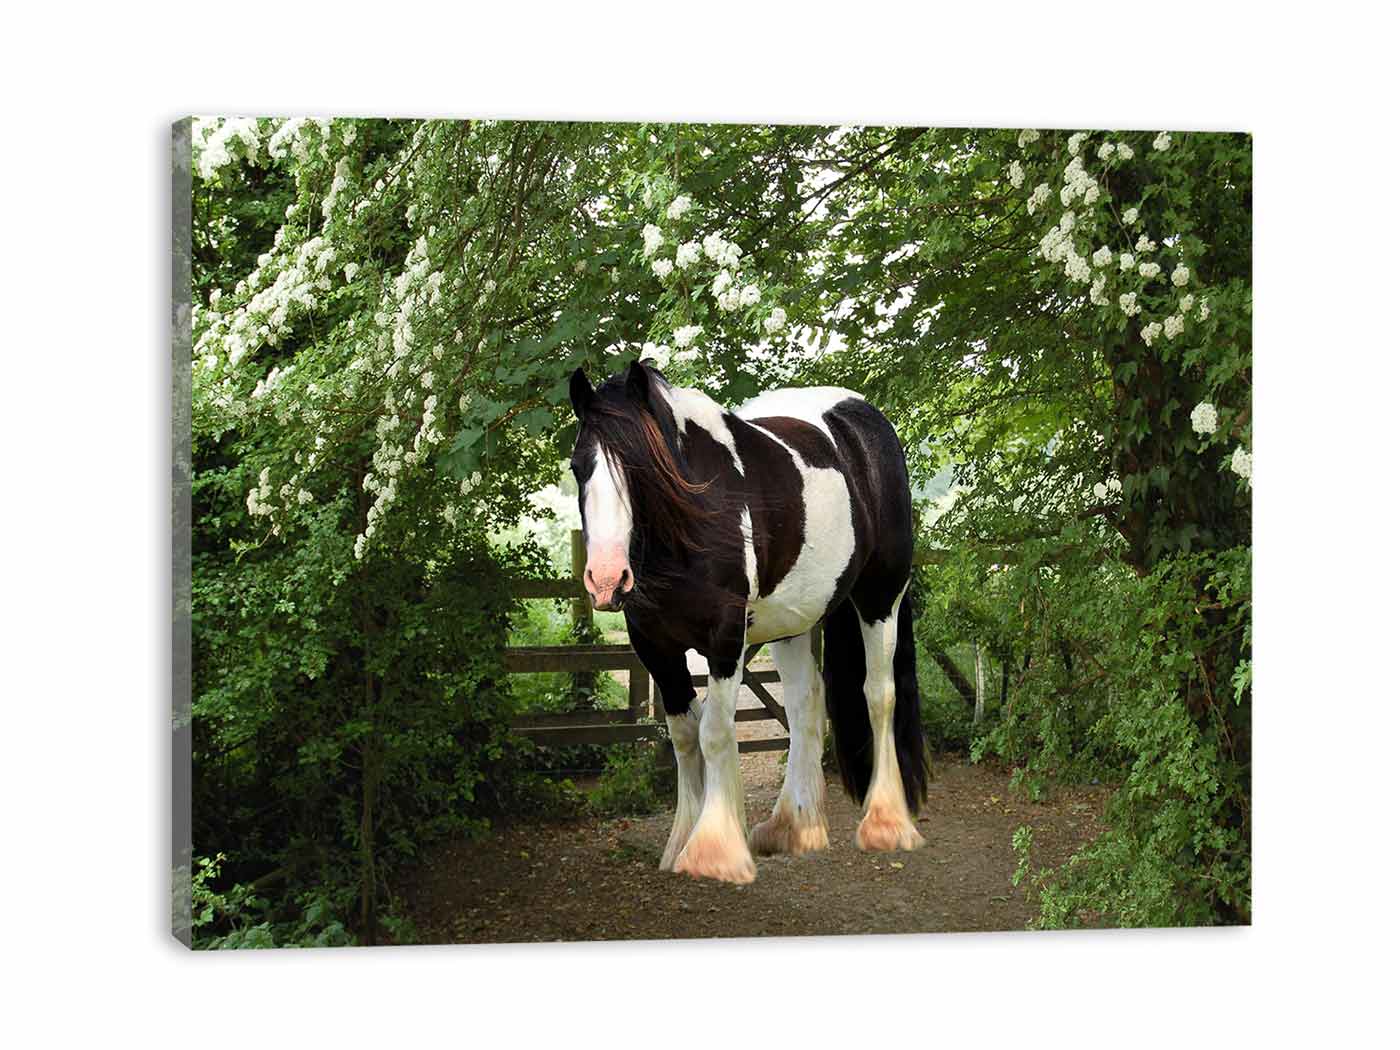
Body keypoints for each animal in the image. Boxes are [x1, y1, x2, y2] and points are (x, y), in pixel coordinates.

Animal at [568, 359, 928, 884]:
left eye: (639, 467)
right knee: (804, 704)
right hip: (794, 619)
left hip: (881, 597)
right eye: (578, 467)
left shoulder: (723, 639)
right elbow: (684, 736)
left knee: (879, 694)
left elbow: (715, 733)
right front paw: (681, 840)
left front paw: (714, 850)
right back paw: (793, 827)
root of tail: (865, 420)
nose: (606, 579)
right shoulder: (655, 647)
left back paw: (886, 823)